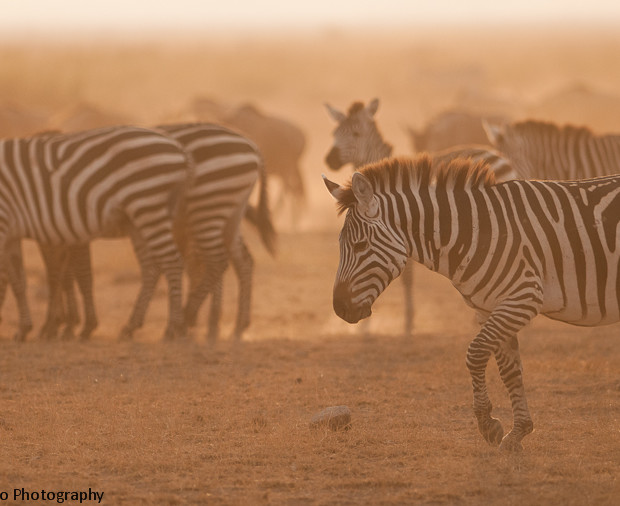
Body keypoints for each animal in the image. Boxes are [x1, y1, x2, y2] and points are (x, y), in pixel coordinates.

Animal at [0, 124, 194, 342]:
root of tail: (179, 148)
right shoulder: (11, 233)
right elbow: (18, 281)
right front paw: (24, 328)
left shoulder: (4, 222)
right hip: (141, 219)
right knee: (151, 268)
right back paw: (131, 327)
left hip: (147, 206)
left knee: (172, 263)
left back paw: (173, 328)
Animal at [322, 99, 516, 336]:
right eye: (334, 133)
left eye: (356, 134)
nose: (330, 160)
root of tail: (500, 158)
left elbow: (406, 278)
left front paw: (406, 322)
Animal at [324, 155, 620, 450]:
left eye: (360, 246)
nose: (340, 308)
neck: (474, 233)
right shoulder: (491, 307)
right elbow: (510, 369)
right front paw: (518, 432)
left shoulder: (523, 297)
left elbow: (475, 354)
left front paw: (488, 424)